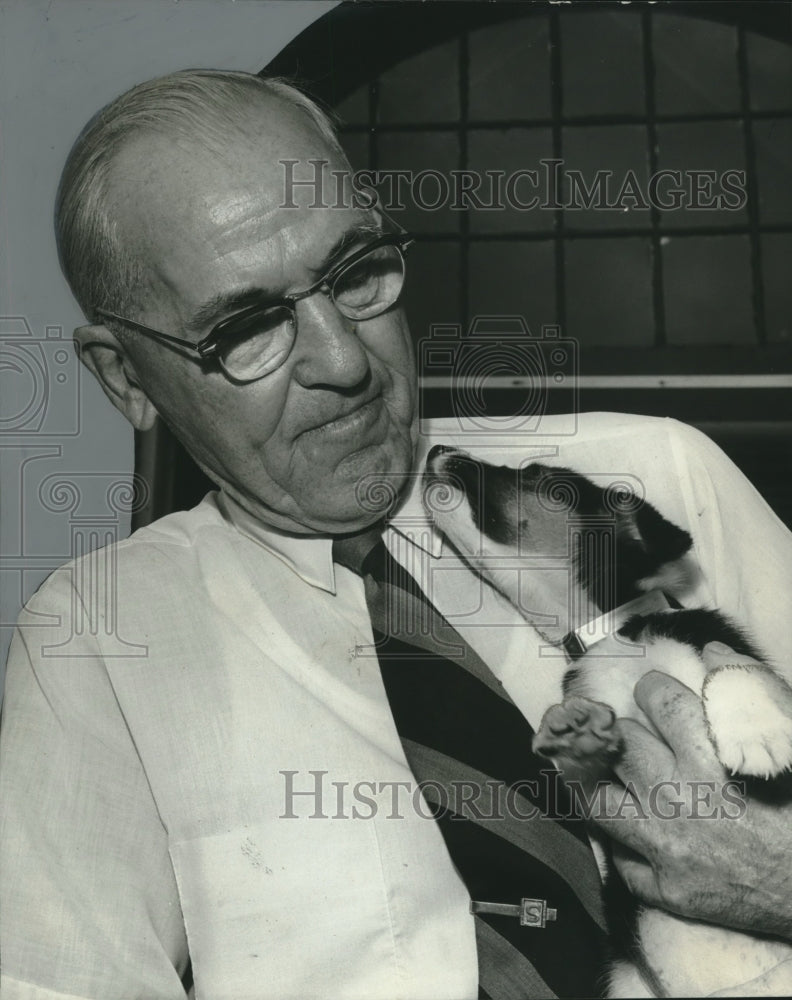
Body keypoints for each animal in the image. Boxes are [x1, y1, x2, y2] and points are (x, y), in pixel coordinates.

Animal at [424, 448, 792, 1000]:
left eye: (538, 476)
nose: (436, 451)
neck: (610, 638)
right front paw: (570, 730)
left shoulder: (709, 639)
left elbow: (732, 665)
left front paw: (757, 732)